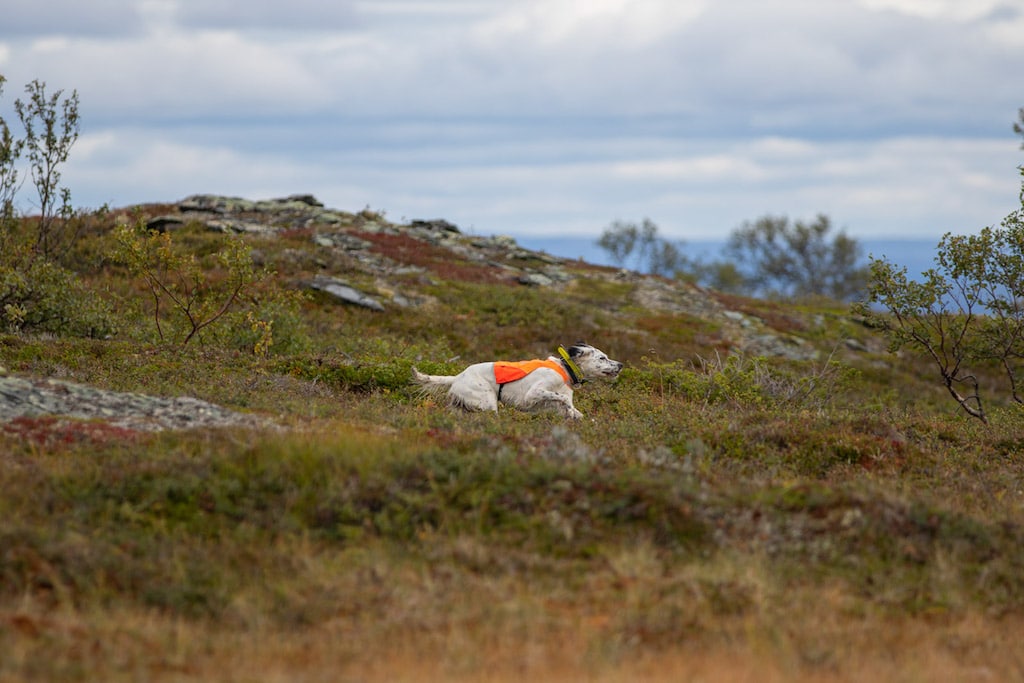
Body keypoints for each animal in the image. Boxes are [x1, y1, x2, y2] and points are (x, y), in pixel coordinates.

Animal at [409, 344, 622, 419]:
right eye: (602, 358)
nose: (620, 365)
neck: (565, 369)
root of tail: (459, 376)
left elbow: (575, 411)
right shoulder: (533, 393)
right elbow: (561, 399)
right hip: (487, 402)